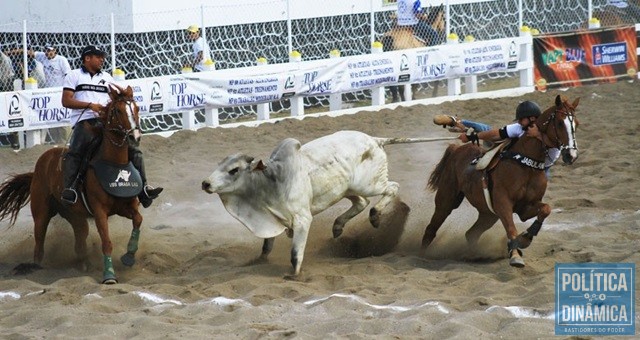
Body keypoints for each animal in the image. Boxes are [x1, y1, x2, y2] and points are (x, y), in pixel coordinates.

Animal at [0, 85, 145, 284]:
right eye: (117, 110)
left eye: (136, 108)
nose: (134, 137)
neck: (114, 162)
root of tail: (39, 166)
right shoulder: (100, 212)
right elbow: (106, 242)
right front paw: (109, 275)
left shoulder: (126, 206)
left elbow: (138, 220)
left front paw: (129, 256)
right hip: (41, 214)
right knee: (39, 246)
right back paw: (36, 270)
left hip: (75, 216)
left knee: (79, 242)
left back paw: (83, 265)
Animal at [201, 130, 456, 276]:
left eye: (234, 170)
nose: (205, 183)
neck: (270, 182)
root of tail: (375, 140)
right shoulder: (274, 218)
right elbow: (267, 245)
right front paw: (259, 261)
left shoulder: (302, 219)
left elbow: (295, 252)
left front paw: (293, 274)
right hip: (347, 189)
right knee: (361, 202)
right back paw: (338, 226)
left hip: (369, 184)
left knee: (390, 189)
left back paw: (375, 216)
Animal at [424, 94, 580, 266]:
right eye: (559, 122)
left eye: (577, 124)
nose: (571, 156)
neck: (526, 165)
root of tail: (456, 148)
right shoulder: (503, 203)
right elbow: (511, 228)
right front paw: (516, 255)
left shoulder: (525, 208)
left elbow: (546, 209)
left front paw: (525, 238)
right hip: (447, 200)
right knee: (432, 228)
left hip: (488, 214)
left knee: (471, 233)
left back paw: (474, 254)